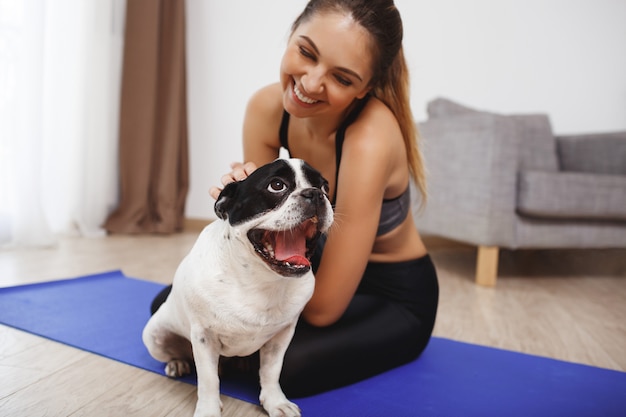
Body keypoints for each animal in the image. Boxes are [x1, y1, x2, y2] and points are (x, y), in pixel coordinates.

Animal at [141, 158, 332, 414]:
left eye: (325, 187)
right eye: (277, 185)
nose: (315, 194)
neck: (260, 279)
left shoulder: (280, 338)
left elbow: (271, 372)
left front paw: (276, 403)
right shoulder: (204, 337)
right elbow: (208, 380)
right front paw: (208, 411)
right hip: (155, 335)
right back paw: (178, 363)